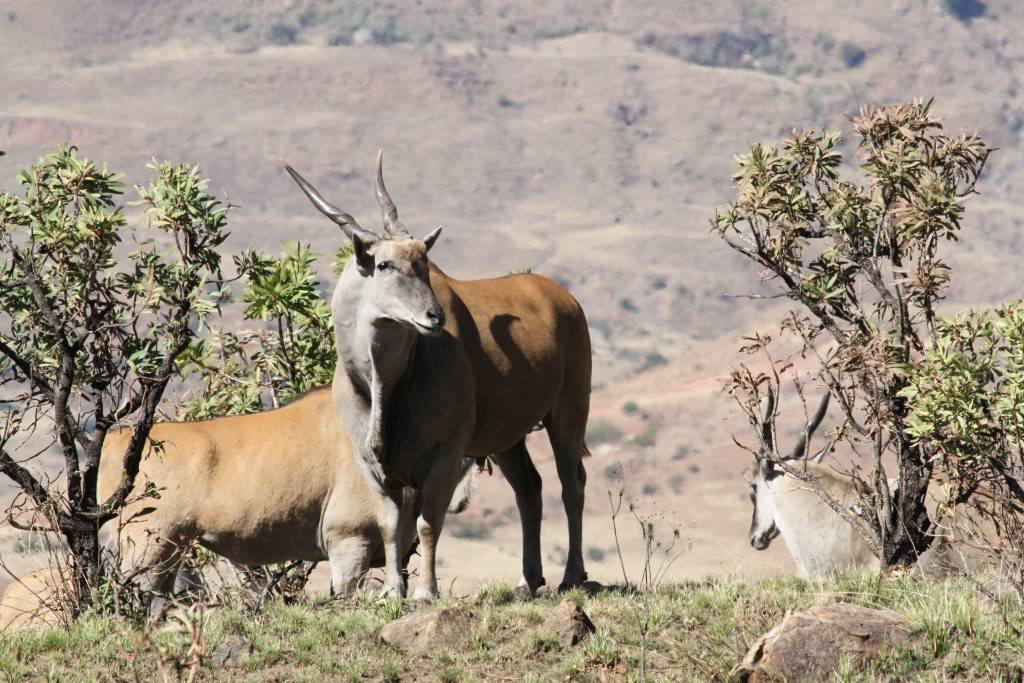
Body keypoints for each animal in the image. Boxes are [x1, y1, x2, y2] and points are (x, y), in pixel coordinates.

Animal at [282, 149, 593, 598]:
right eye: (385, 264)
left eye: (425, 265)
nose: (435, 317)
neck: (384, 386)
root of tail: (565, 299)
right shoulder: (373, 466)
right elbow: (392, 526)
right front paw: (392, 590)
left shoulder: (445, 456)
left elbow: (427, 525)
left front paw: (425, 591)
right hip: (506, 437)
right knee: (530, 490)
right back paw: (527, 580)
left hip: (569, 411)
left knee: (572, 485)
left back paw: (572, 575)